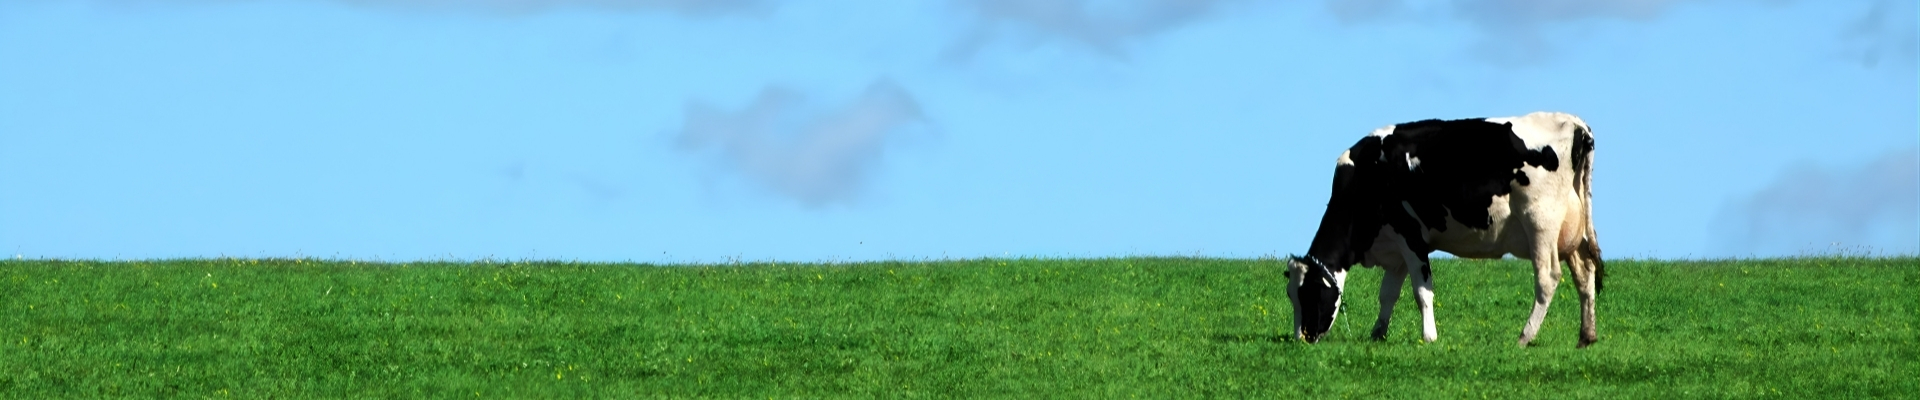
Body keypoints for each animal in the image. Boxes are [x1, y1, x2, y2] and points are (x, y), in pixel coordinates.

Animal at [1286, 111, 1605, 347]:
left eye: (1309, 294)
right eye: (1291, 296)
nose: (1302, 338)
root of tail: (1575, 123)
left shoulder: (1411, 235)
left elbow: (1421, 292)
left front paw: (1429, 337)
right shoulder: (1395, 243)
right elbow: (1388, 293)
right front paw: (1378, 333)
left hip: (1540, 223)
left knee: (1548, 277)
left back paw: (1524, 337)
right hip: (1572, 232)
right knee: (1585, 273)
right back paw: (1586, 336)